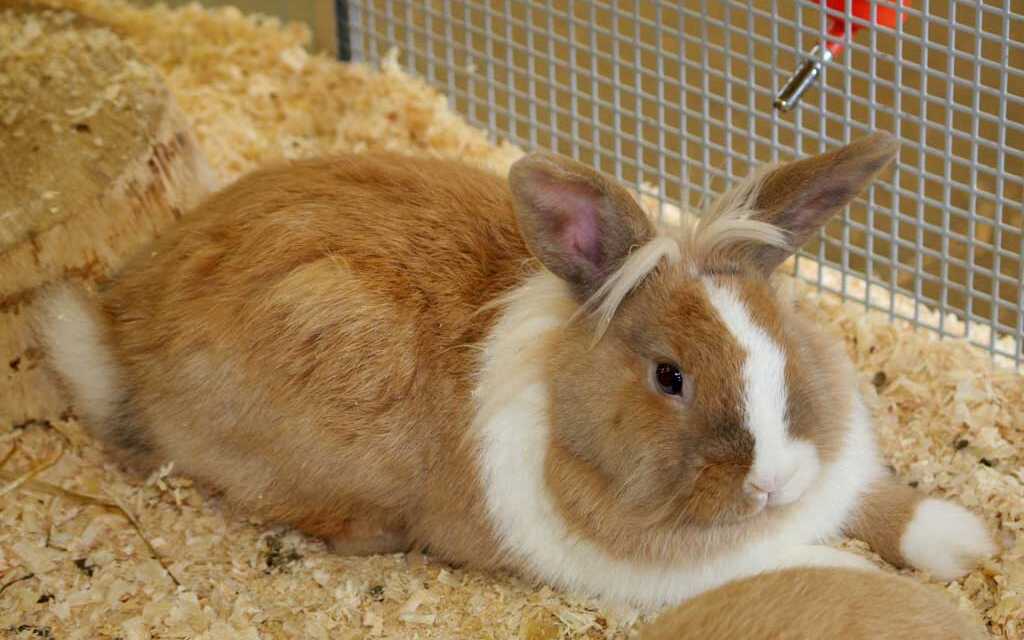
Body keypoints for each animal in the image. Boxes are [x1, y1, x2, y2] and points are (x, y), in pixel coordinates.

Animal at [37, 132, 996, 607]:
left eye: (783, 342)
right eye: (669, 377)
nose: (773, 484)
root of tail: (119, 332)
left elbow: (886, 504)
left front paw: (965, 540)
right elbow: (797, 565)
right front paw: (866, 581)